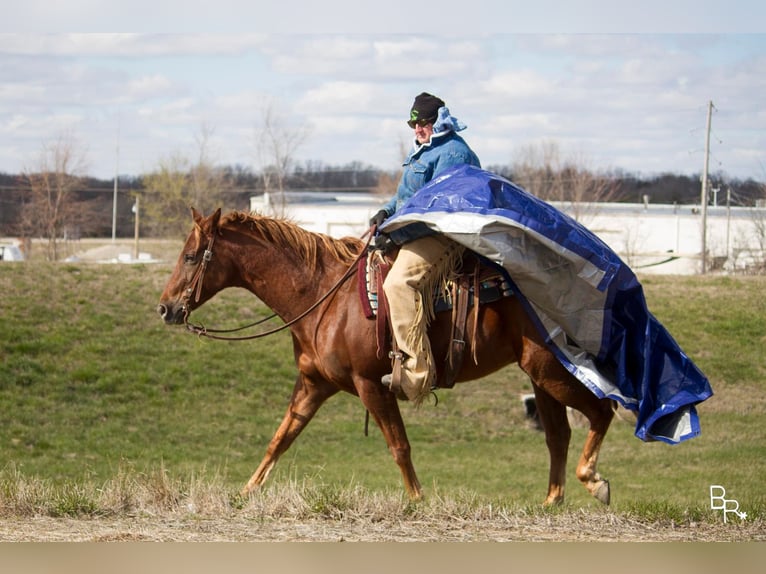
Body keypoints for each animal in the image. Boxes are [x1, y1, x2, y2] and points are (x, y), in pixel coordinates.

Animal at [158, 209, 616, 506]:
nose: (165, 308)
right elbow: (280, 438)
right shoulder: (313, 385)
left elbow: (399, 446)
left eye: (191, 256)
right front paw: (245, 492)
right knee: (559, 435)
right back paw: (551, 502)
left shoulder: (370, 386)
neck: (324, 295)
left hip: (549, 369)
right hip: (541, 376)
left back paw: (593, 481)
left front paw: (417, 501)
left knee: (601, 411)